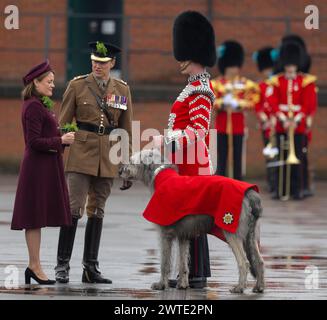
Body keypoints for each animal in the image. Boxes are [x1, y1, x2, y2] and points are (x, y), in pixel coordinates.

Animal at [120, 149, 266, 294]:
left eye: (131, 161)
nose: (120, 171)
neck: (160, 176)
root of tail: (250, 193)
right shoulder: (183, 235)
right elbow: (183, 262)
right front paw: (183, 284)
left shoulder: (165, 232)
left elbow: (165, 262)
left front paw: (161, 285)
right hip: (252, 235)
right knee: (259, 260)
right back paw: (259, 287)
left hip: (231, 229)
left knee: (244, 262)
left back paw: (239, 287)